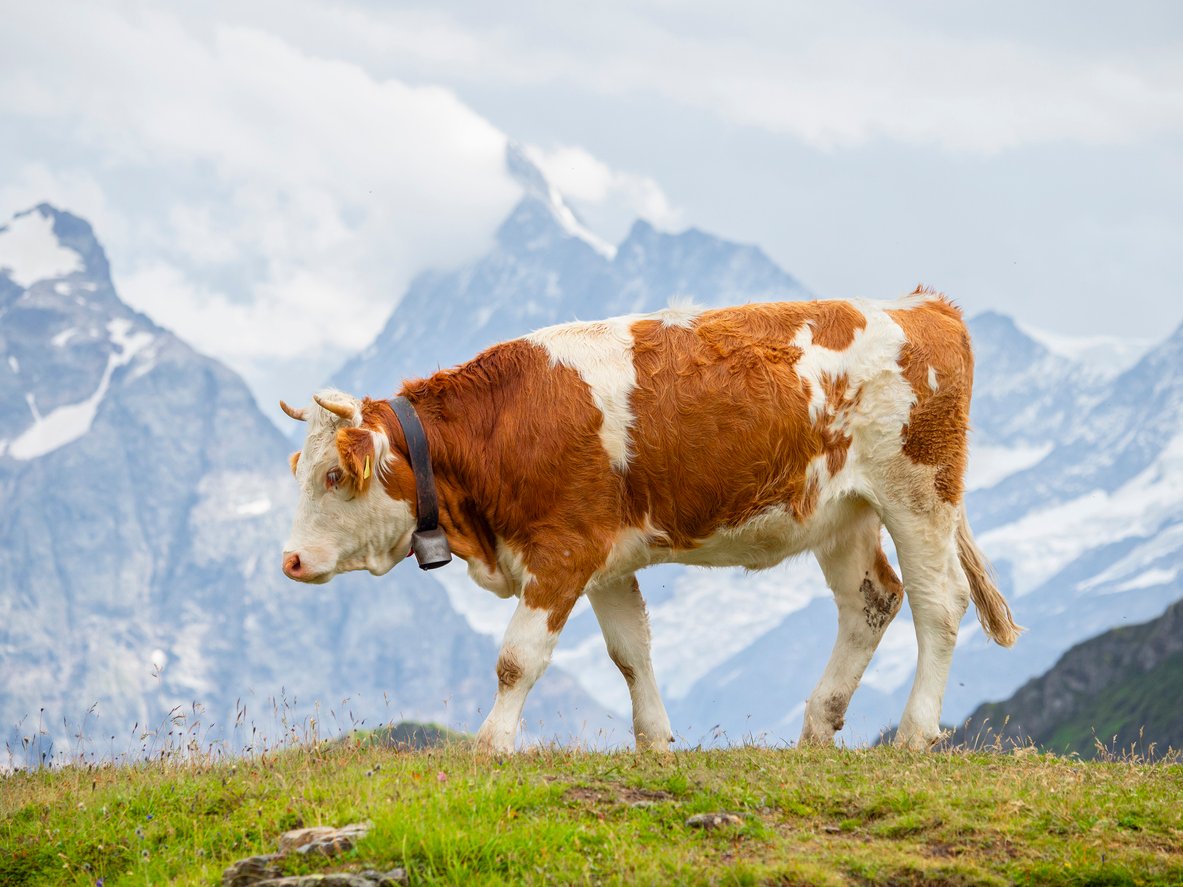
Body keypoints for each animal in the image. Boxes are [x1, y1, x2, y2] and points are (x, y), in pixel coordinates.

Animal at [280, 288, 1020, 754]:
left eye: (333, 475)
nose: (290, 560)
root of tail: (922, 306)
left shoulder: (563, 552)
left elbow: (517, 659)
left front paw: (491, 745)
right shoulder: (605, 559)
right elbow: (630, 652)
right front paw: (656, 741)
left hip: (918, 491)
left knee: (939, 602)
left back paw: (914, 732)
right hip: (844, 513)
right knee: (872, 600)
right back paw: (816, 726)